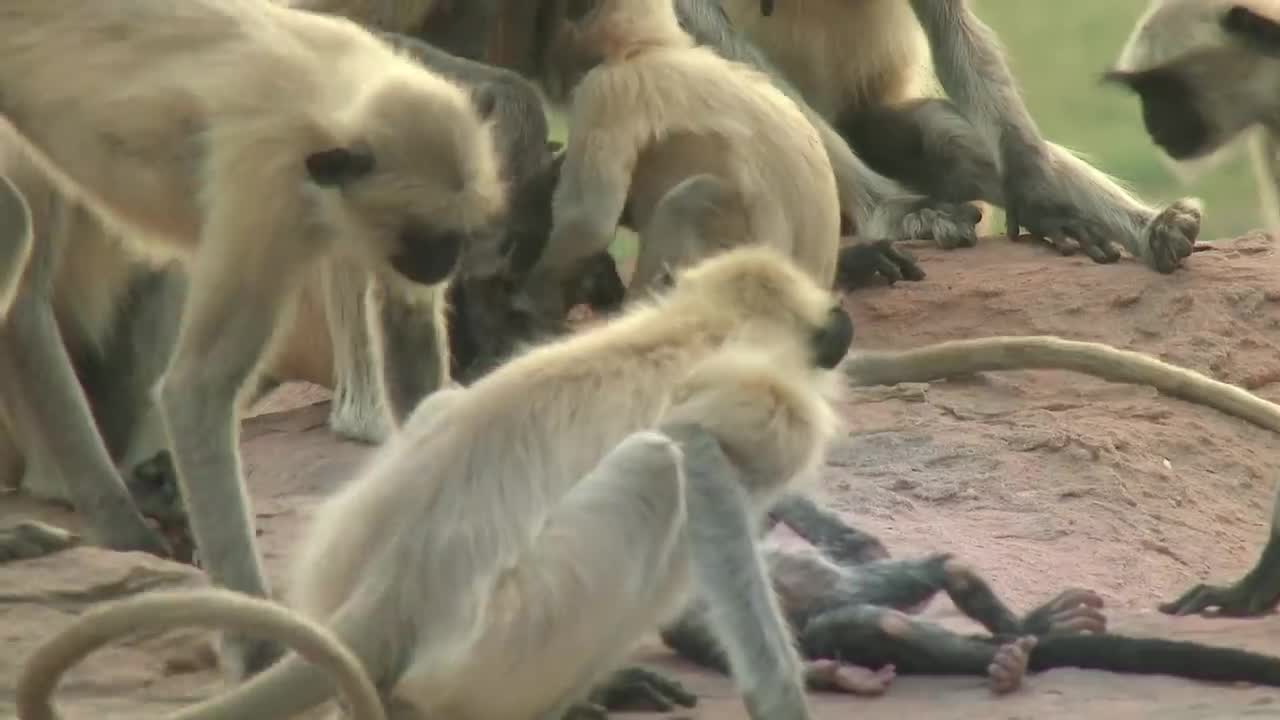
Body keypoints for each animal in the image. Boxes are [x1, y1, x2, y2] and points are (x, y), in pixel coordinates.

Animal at [1, 0, 509, 676]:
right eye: (422, 237)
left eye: (455, 234)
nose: (442, 264)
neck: (330, 95)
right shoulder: (267, 182)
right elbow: (195, 393)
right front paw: (258, 647)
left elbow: (406, 325)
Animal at [15, 245, 860, 717]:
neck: (705, 321)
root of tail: (386, 601)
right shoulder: (776, 409)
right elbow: (697, 445)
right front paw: (782, 698)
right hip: (510, 640)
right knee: (659, 464)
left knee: (446, 402)